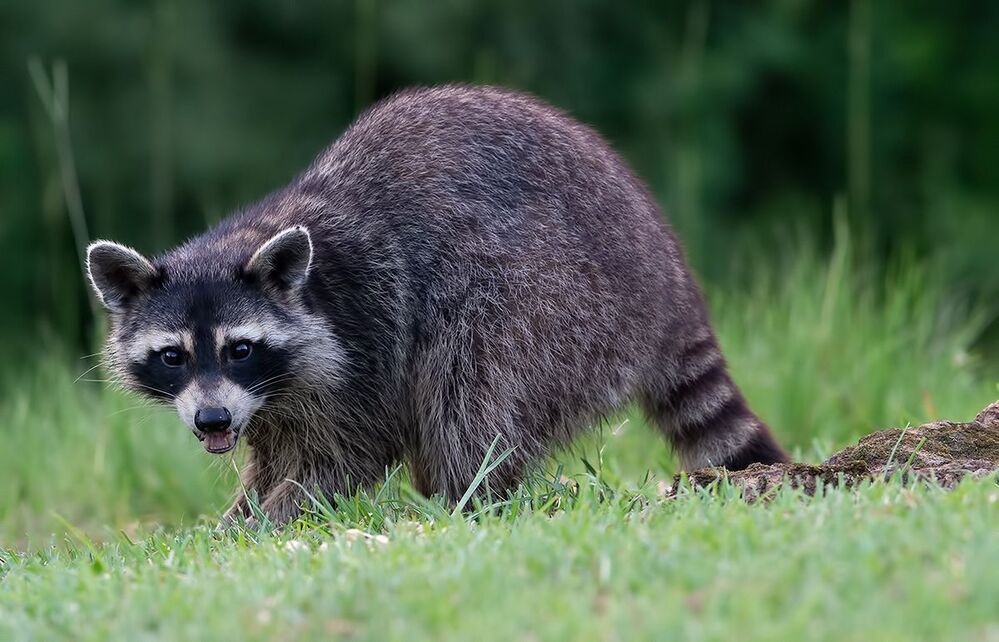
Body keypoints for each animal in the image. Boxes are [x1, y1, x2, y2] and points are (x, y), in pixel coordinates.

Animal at [86, 85, 787, 524]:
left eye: (240, 349)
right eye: (172, 356)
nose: (212, 420)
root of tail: (667, 277)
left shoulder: (367, 331)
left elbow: (346, 454)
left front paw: (264, 522)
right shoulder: (269, 400)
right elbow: (276, 455)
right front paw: (241, 514)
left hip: (561, 302)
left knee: (473, 386)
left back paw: (462, 500)